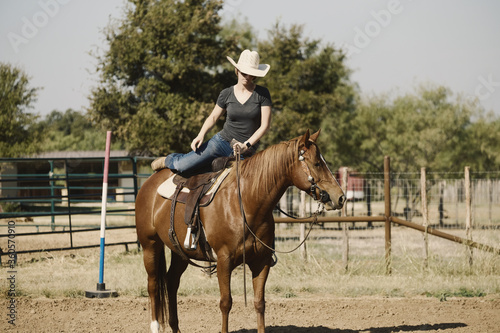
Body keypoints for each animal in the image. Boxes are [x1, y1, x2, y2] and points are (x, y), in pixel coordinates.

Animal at [135, 128, 346, 330]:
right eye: (317, 163)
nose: (341, 197)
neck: (246, 201)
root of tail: (149, 183)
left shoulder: (261, 261)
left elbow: (259, 303)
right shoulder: (224, 261)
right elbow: (225, 303)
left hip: (180, 251)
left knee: (171, 282)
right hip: (150, 245)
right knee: (153, 285)